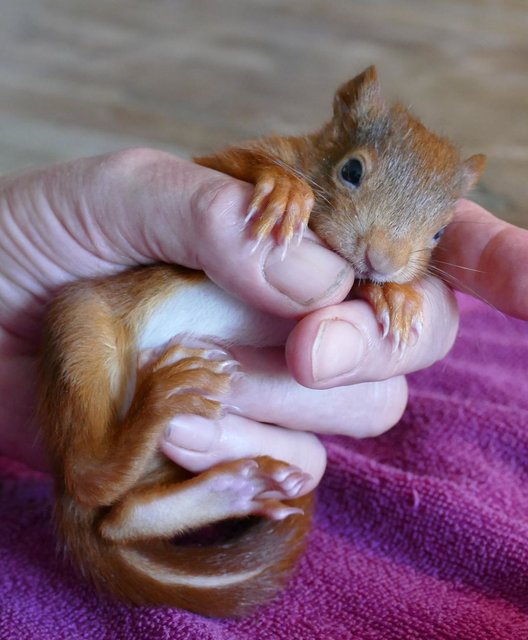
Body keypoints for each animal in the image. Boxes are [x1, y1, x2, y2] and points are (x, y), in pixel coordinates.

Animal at [38, 66, 485, 617]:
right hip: (81, 326)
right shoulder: (229, 159)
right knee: (85, 474)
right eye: (351, 170)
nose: (383, 260)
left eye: (442, 232)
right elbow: (239, 161)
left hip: (165, 462)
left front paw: (395, 297)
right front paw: (285, 189)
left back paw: (233, 487)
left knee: (118, 520)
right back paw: (167, 397)